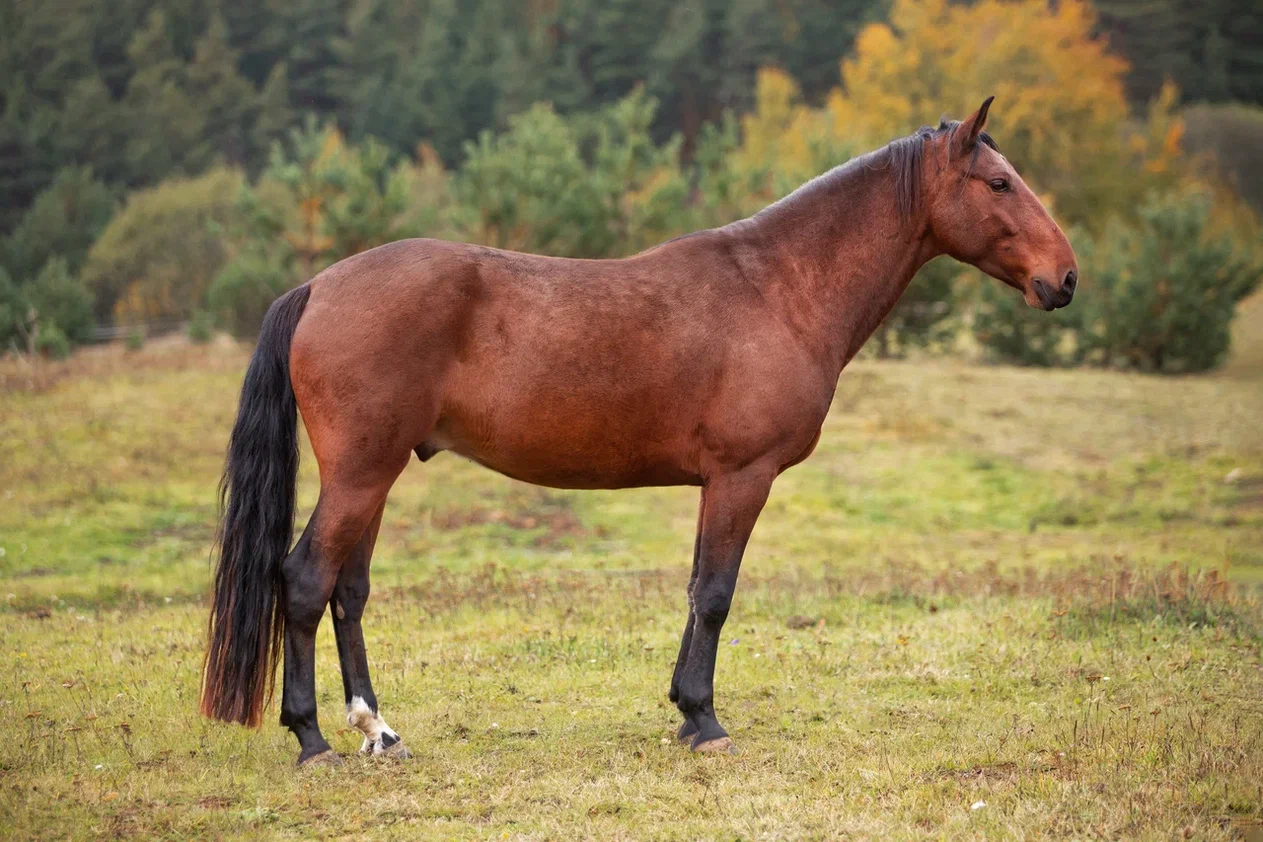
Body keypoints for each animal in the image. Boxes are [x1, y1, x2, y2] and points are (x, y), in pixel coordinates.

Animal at [200, 97, 1078, 766]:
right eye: (999, 182)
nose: (1064, 278)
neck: (776, 287)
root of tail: (319, 285)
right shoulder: (740, 477)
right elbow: (716, 595)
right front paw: (706, 722)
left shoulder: (715, 484)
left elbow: (694, 589)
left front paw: (685, 714)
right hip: (359, 474)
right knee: (304, 581)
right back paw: (312, 738)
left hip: (377, 475)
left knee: (347, 592)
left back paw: (377, 729)